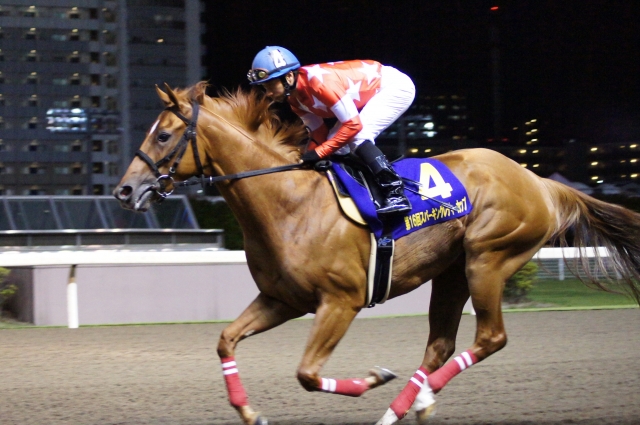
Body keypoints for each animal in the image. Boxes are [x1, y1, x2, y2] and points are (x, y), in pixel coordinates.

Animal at [114, 82, 640, 425]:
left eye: (163, 135)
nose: (124, 190)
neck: (289, 201)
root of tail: (540, 182)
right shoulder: (282, 300)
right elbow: (226, 340)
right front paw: (249, 411)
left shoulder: (340, 301)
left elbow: (307, 374)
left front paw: (373, 377)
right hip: (452, 271)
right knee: (440, 344)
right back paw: (404, 407)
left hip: (488, 258)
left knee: (491, 338)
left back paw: (417, 400)